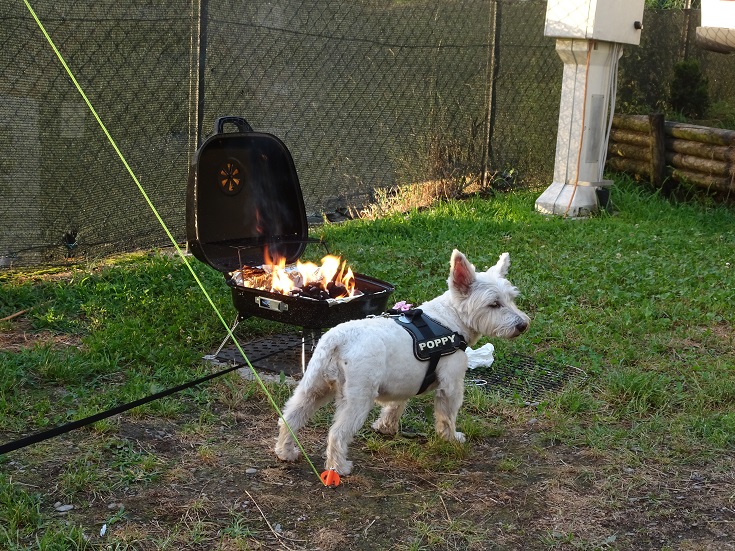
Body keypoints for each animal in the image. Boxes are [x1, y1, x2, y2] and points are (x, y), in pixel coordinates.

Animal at [276, 249, 528, 474]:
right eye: (493, 304)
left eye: (511, 299)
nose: (523, 325)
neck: (450, 319)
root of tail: (338, 340)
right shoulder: (452, 384)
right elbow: (447, 415)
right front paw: (451, 438)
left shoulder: (405, 381)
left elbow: (394, 406)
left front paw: (385, 427)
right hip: (357, 399)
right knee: (337, 433)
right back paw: (338, 467)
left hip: (313, 388)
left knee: (290, 417)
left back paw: (285, 452)